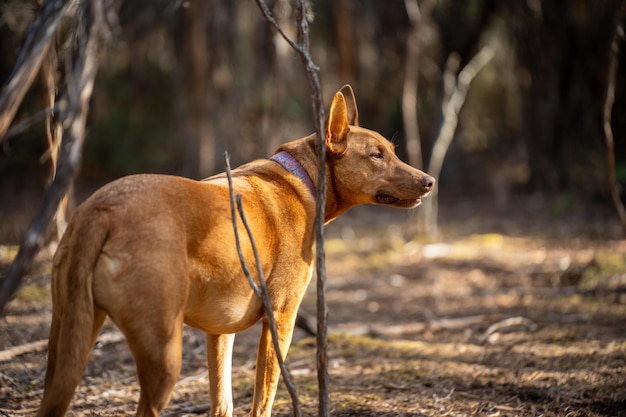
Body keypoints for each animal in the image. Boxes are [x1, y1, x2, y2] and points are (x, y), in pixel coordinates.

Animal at [36, 85, 432, 416]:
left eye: (393, 152)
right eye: (376, 156)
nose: (429, 181)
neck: (303, 178)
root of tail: (101, 209)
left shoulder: (219, 332)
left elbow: (222, 402)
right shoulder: (281, 320)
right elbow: (264, 399)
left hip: (68, 346)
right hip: (163, 355)